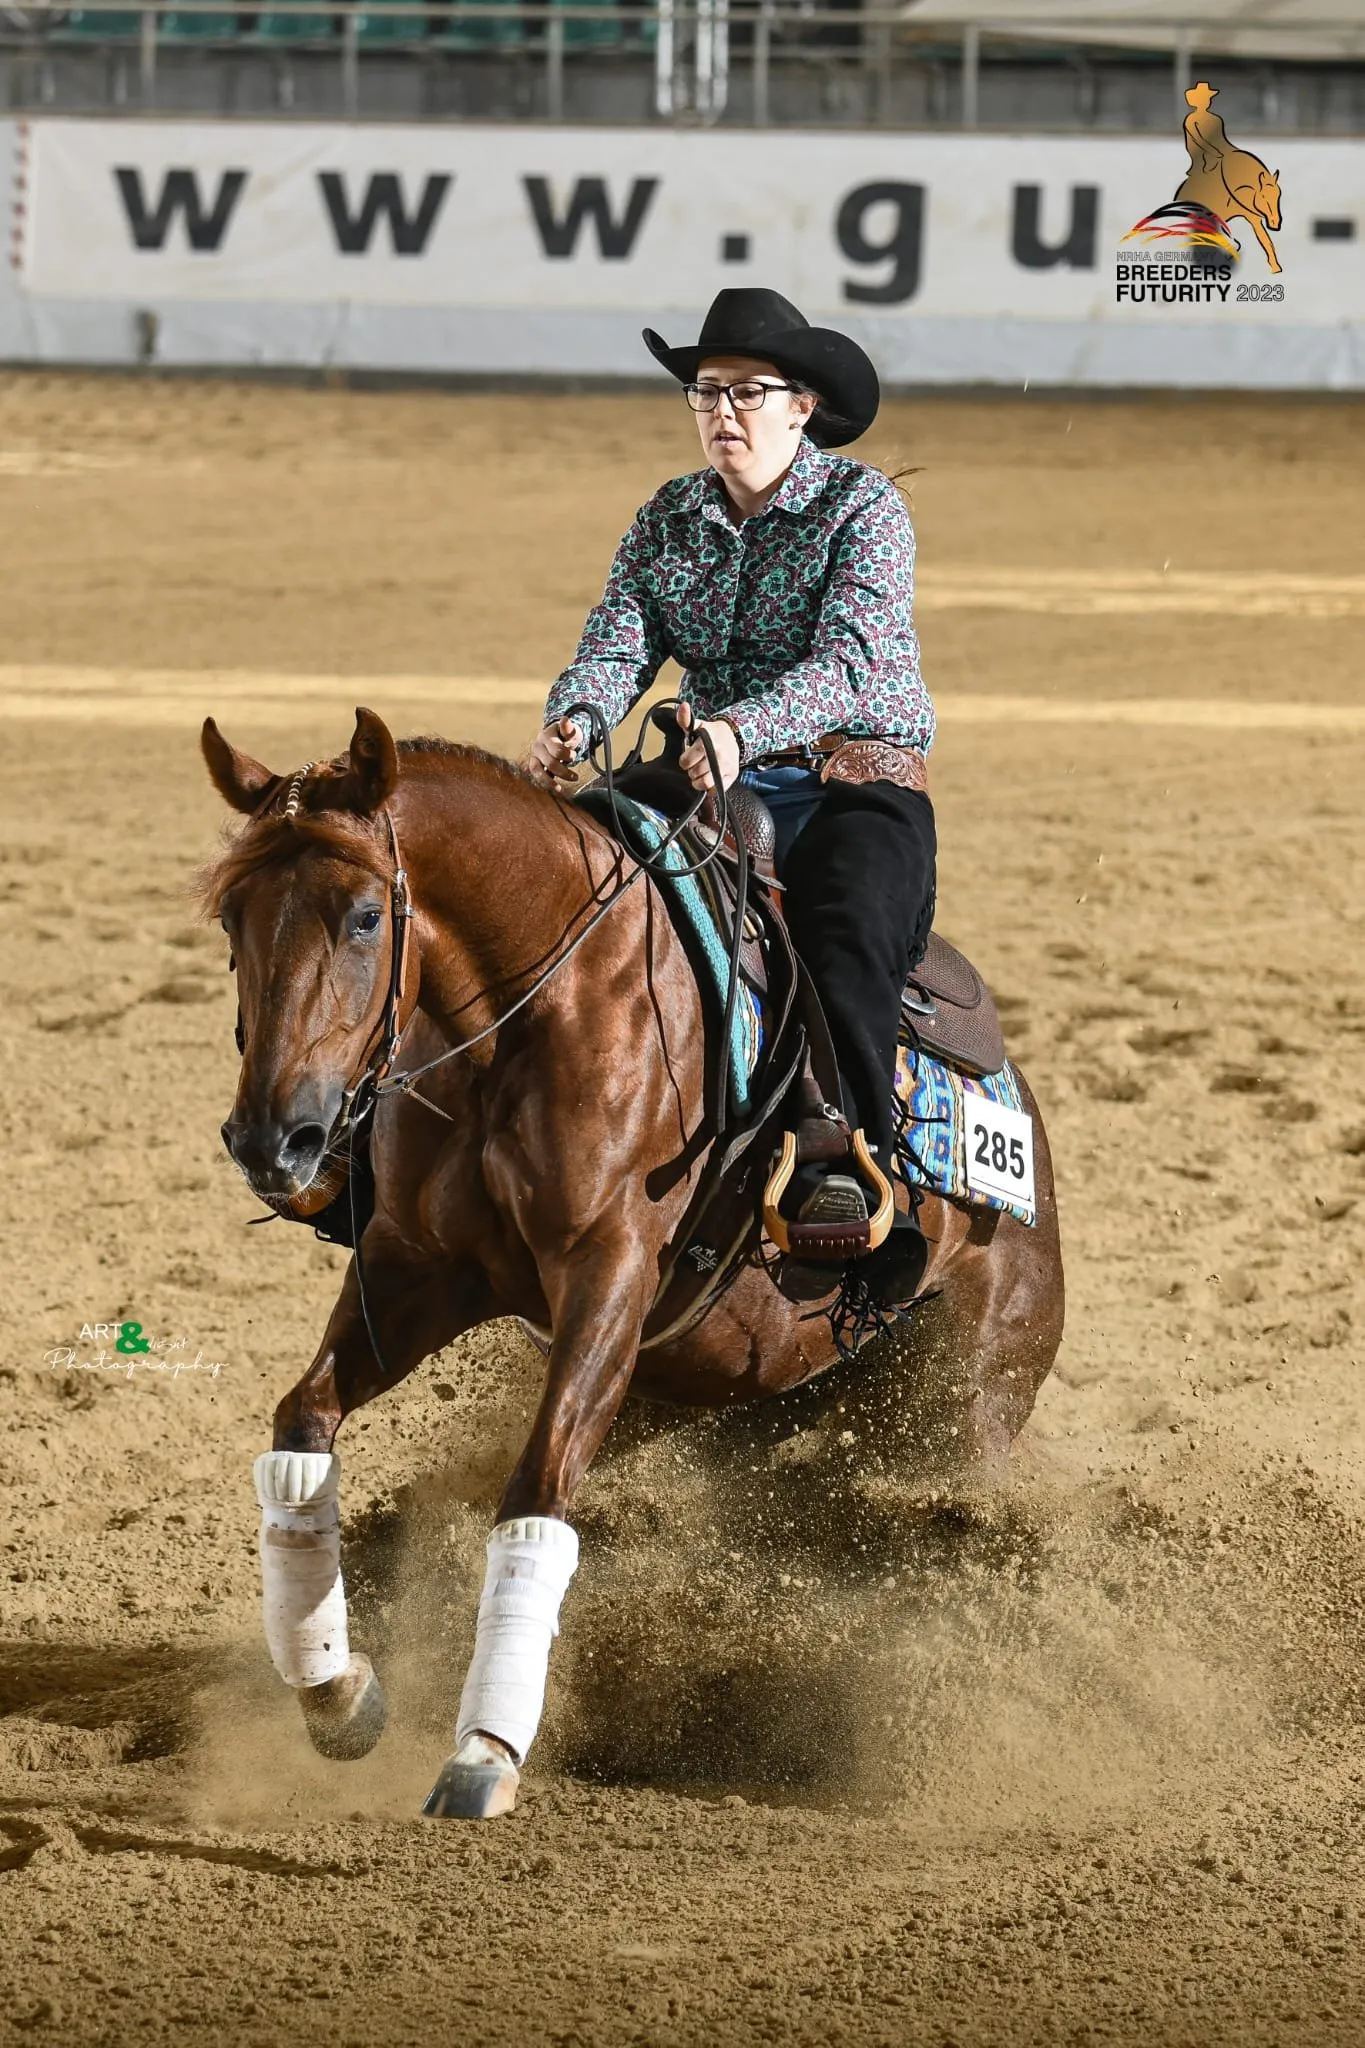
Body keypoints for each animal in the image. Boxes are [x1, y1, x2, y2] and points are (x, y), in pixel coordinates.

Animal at [200, 705, 1065, 1819]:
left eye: (361, 917)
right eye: (232, 918)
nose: (275, 1141)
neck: (536, 1010)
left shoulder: (607, 1275)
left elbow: (536, 1489)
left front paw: (484, 1749)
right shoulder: (416, 1270)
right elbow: (302, 1425)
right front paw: (337, 1690)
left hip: (968, 1400)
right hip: (698, 1386)